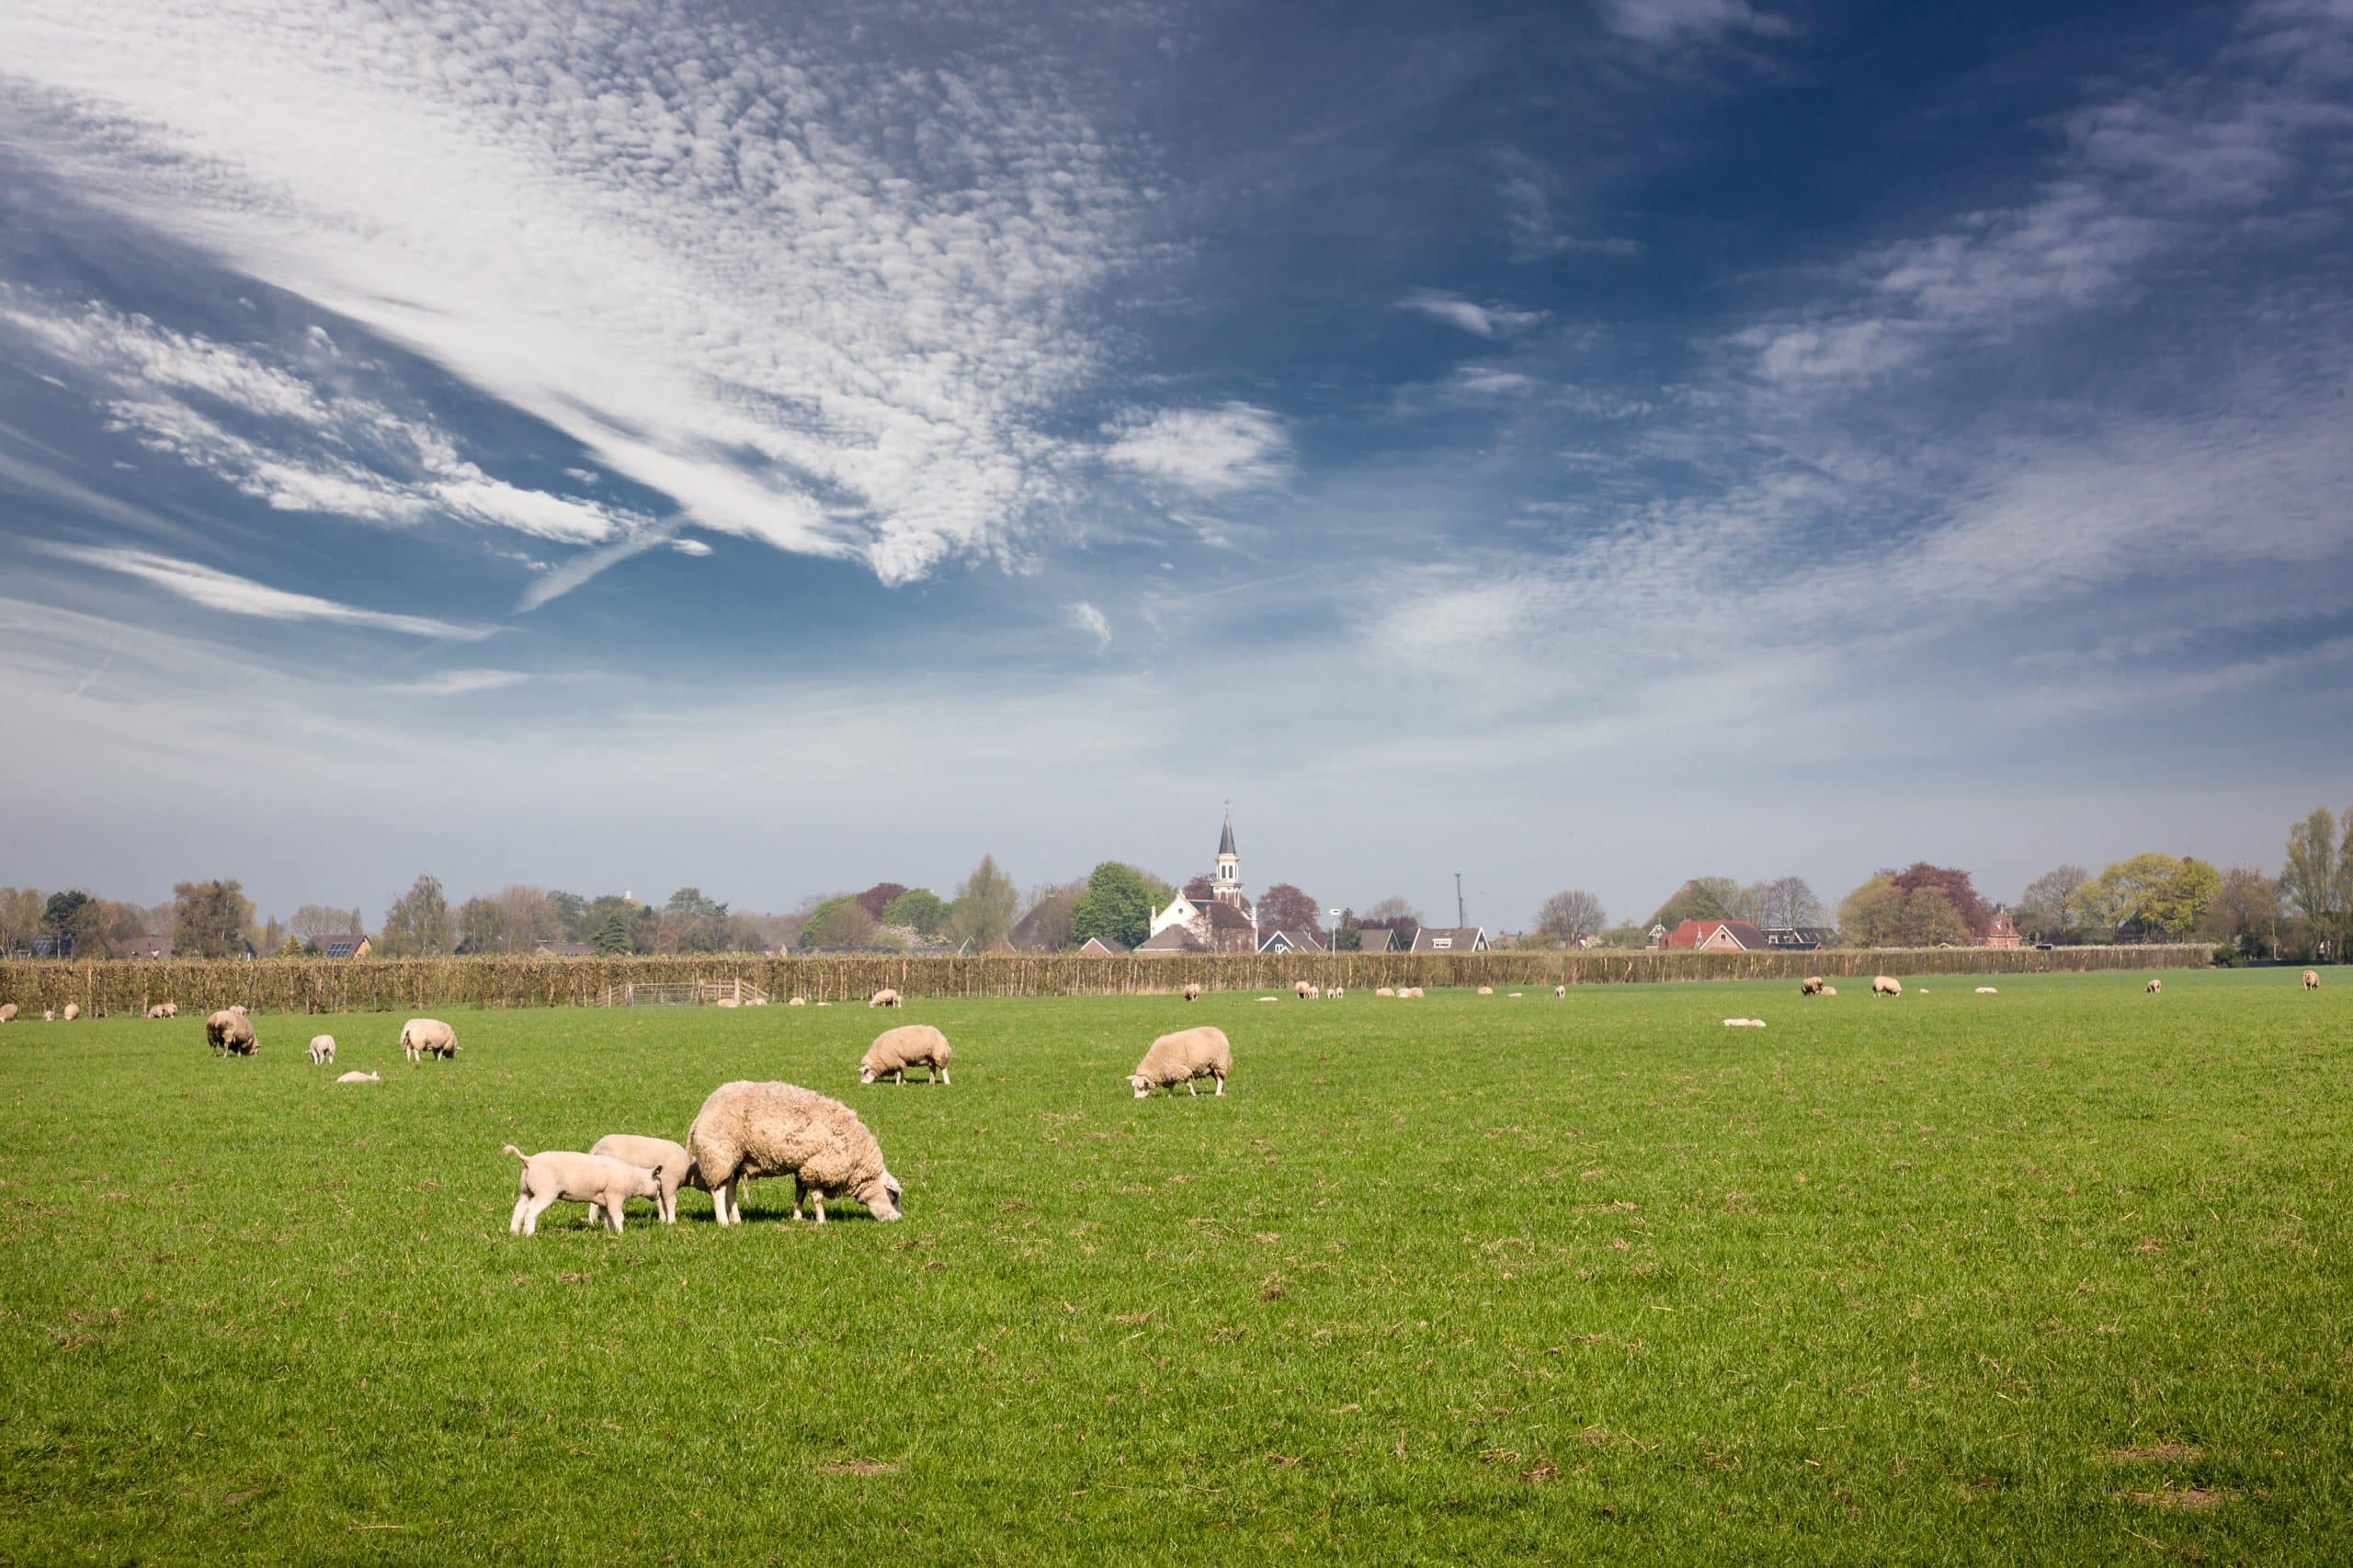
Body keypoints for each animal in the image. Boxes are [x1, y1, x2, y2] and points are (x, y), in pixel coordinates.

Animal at [501, 1134, 668, 1233]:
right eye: (658, 1185)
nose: (658, 1196)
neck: (633, 1178)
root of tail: (529, 1160)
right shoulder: (614, 1197)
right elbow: (618, 1216)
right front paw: (621, 1233)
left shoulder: (603, 1201)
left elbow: (607, 1217)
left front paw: (610, 1232)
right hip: (545, 1192)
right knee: (531, 1211)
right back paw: (529, 1233)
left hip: (525, 1191)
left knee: (519, 1210)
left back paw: (514, 1232)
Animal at [687, 1074, 898, 1224]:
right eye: (894, 1197)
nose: (898, 1220)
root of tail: (703, 1112)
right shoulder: (817, 1167)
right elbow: (818, 1198)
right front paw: (822, 1221)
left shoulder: (804, 1167)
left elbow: (800, 1194)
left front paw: (797, 1217)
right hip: (719, 1154)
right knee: (718, 1191)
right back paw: (723, 1222)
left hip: (735, 1158)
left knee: (730, 1189)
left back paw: (737, 1220)